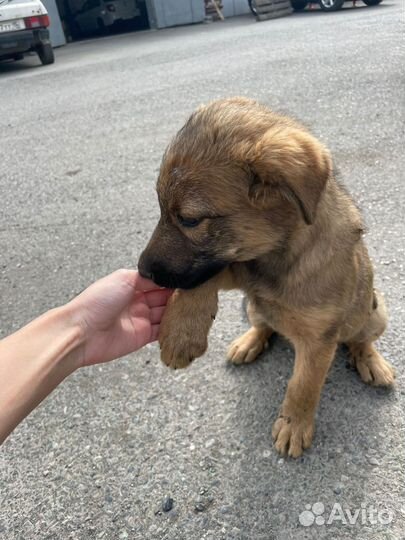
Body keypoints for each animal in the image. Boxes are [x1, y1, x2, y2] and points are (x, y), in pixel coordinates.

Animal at [137, 96, 392, 456]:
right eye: (161, 209)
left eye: (189, 220)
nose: (142, 271)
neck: (277, 256)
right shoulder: (238, 269)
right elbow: (199, 281)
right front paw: (182, 334)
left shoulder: (319, 339)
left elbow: (303, 385)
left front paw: (294, 424)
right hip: (252, 306)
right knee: (264, 326)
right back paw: (248, 342)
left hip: (376, 310)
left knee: (360, 339)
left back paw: (370, 361)